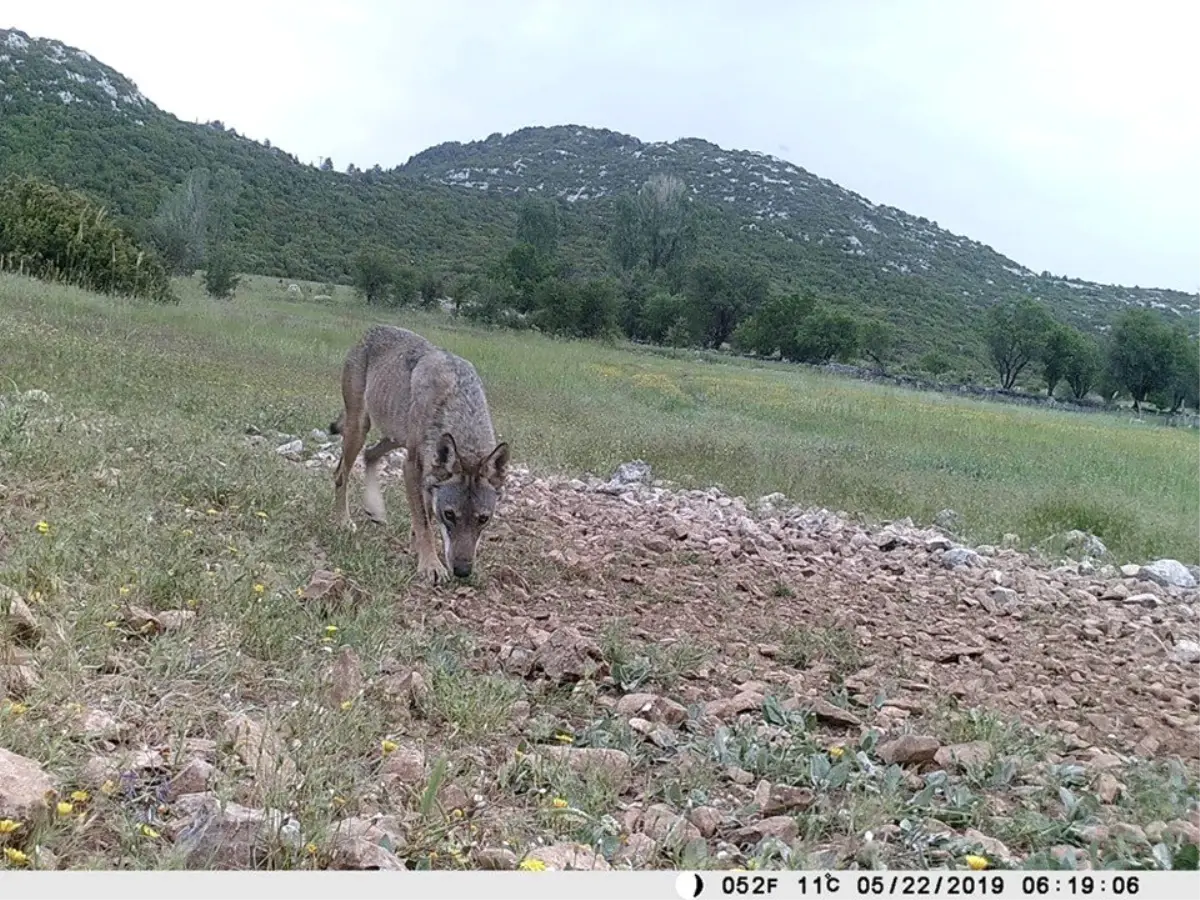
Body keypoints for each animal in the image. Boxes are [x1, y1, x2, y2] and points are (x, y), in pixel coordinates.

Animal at [331, 326, 508, 585]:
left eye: (483, 519)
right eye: (449, 514)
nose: (463, 571)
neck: (459, 406)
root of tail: (372, 330)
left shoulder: (427, 477)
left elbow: (423, 518)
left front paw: (416, 551)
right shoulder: (412, 468)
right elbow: (424, 522)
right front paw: (430, 566)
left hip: (395, 438)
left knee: (370, 454)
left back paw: (375, 509)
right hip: (361, 428)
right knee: (340, 474)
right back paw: (344, 522)